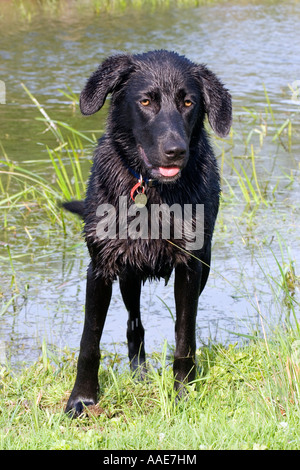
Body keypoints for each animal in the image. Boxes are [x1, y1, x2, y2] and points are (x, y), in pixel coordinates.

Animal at [63, 50, 232, 418]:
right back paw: (138, 372)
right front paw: (82, 399)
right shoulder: (100, 267)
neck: (152, 191)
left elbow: (185, 338)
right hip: (128, 276)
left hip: (204, 268)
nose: (175, 151)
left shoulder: (190, 267)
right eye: (145, 101)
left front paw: (183, 393)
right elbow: (89, 341)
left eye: (188, 102)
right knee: (133, 325)